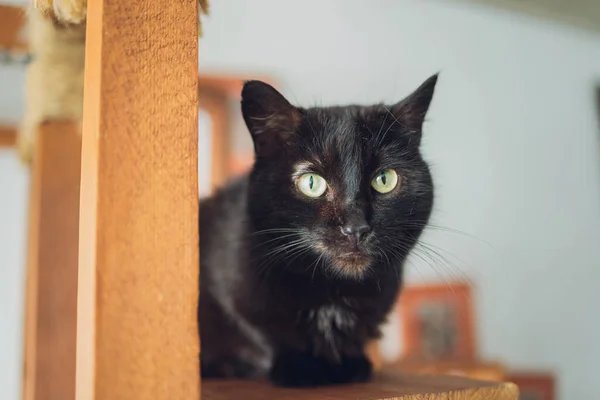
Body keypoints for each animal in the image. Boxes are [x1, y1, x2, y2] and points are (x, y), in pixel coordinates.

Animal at [199, 75, 438, 388]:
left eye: (385, 179)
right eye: (311, 183)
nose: (356, 228)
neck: (333, 293)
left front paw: (351, 364)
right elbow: (265, 333)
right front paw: (301, 368)